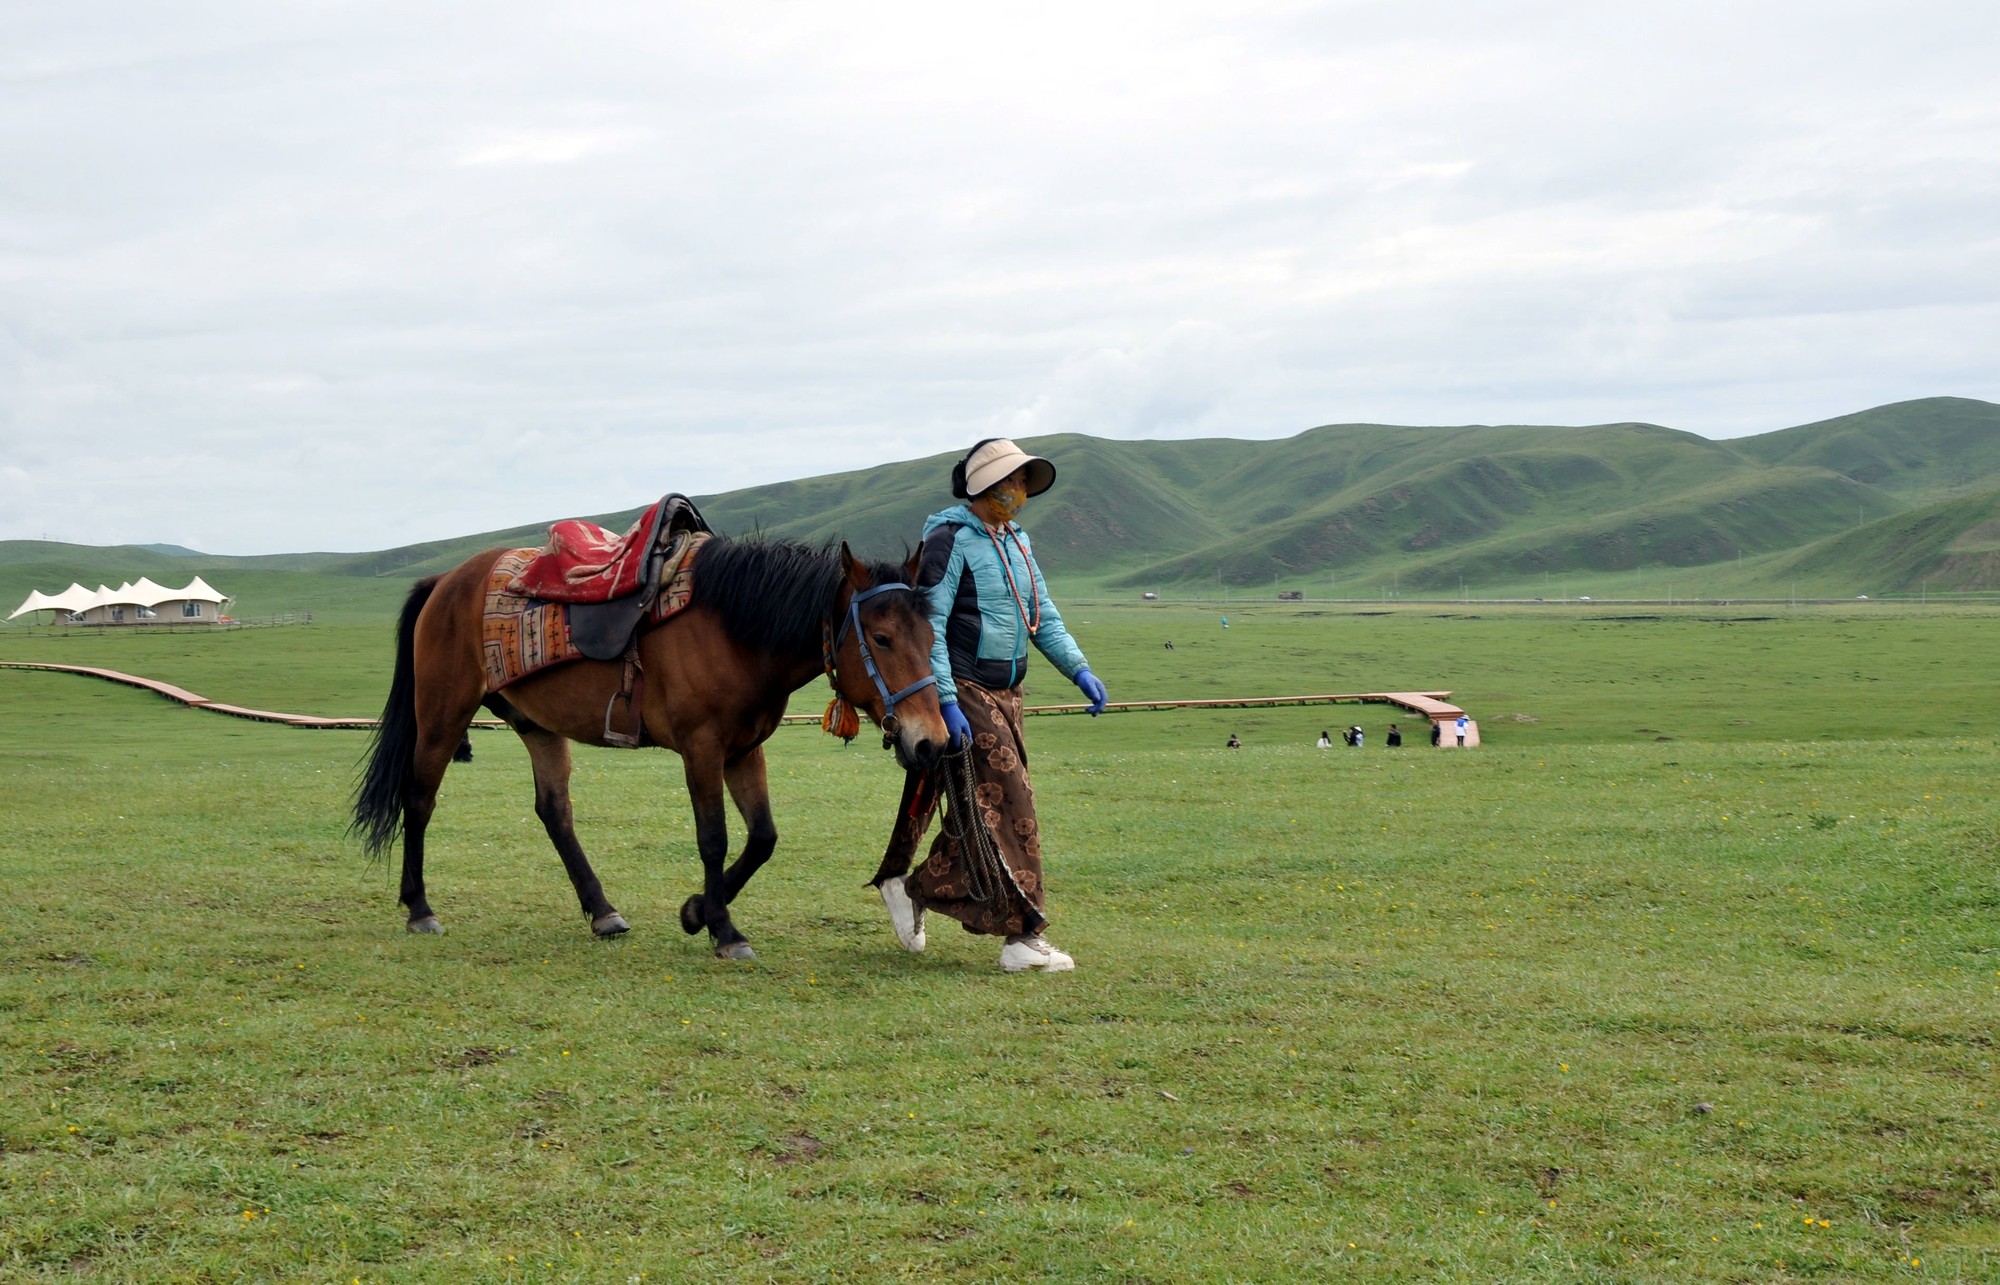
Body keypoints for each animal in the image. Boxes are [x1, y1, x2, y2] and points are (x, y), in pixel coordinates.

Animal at [352, 528, 944, 952]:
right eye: (883, 638)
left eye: (931, 634)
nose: (932, 743)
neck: (735, 630)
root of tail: (445, 580)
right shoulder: (702, 748)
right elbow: (715, 838)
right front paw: (723, 930)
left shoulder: (744, 749)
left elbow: (763, 838)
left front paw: (697, 912)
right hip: (442, 715)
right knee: (419, 799)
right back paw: (420, 909)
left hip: (538, 727)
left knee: (554, 811)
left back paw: (603, 912)